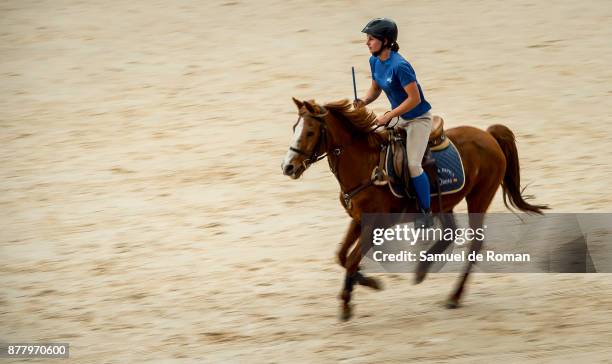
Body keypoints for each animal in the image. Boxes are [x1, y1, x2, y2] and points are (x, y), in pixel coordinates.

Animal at [280, 98, 548, 320]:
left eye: (310, 132)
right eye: (294, 128)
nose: (288, 167)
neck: (365, 165)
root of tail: (488, 135)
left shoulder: (376, 226)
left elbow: (351, 259)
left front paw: (347, 302)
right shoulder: (358, 220)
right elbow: (342, 257)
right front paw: (368, 282)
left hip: (478, 198)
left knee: (474, 244)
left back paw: (454, 296)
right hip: (444, 204)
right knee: (450, 232)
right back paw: (422, 268)